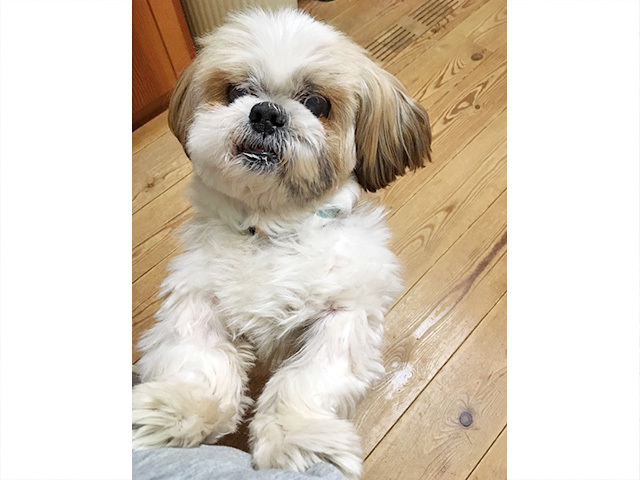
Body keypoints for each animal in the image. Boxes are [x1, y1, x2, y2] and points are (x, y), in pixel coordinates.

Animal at [132, 8, 431, 479]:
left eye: (316, 104)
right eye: (237, 92)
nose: (267, 113)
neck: (270, 232)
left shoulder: (342, 312)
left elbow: (310, 377)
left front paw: (297, 437)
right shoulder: (197, 295)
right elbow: (199, 359)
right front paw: (176, 410)